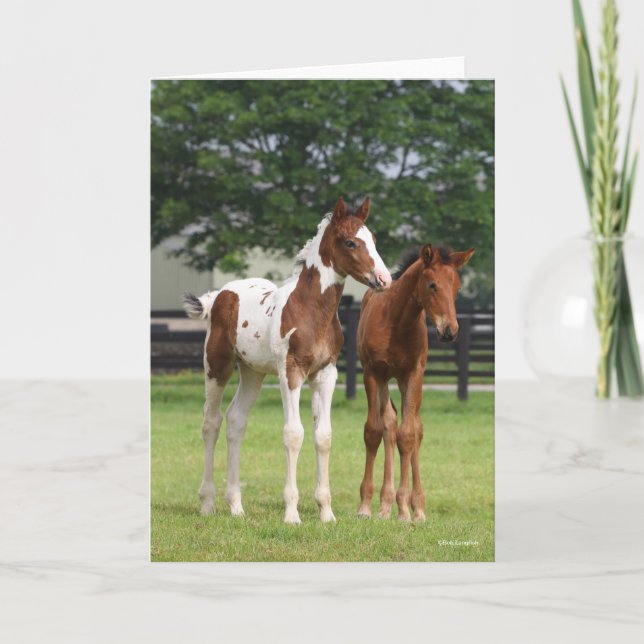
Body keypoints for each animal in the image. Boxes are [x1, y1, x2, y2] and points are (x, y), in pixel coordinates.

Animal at [183, 197, 392, 524]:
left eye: (373, 239)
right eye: (350, 242)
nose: (385, 279)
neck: (310, 310)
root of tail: (220, 295)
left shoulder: (326, 373)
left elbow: (323, 436)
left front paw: (326, 513)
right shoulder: (290, 371)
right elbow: (294, 434)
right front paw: (292, 514)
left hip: (252, 373)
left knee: (236, 421)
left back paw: (236, 506)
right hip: (216, 366)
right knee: (211, 422)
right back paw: (208, 503)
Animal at [355, 243, 474, 521]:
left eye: (456, 287)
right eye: (432, 285)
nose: (449, 331)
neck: (396, 322)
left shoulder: (413, 374)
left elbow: (408, 435)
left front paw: (405, 510)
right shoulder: (372, 373)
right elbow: (374, 431)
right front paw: (365, 506)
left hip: (403, 381)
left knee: (415, 428)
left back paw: (415, 507)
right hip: (385, 379)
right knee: (389, 423)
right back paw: (384, 505)